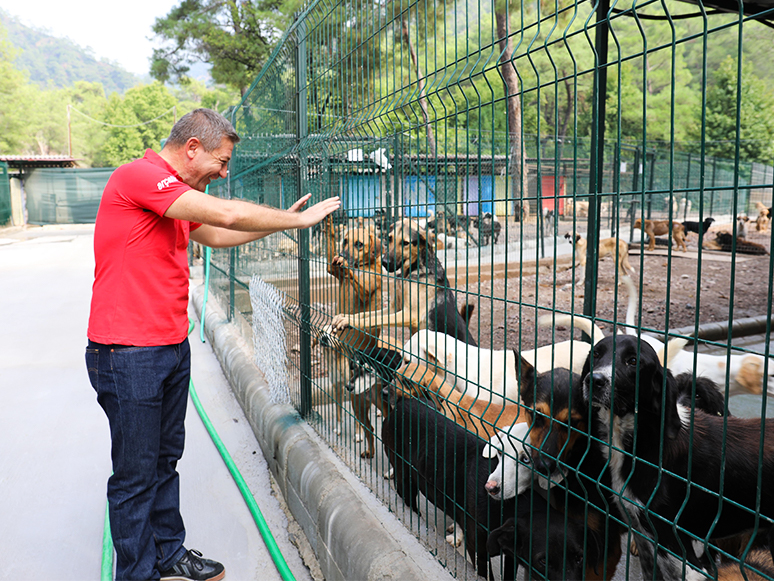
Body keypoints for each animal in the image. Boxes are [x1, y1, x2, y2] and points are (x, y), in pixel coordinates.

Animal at [584, 334, 774, 576]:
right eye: (596, 354)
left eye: (633, 361)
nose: (593, 380)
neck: (649, 440)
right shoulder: (646, 543)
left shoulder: (684, 554)